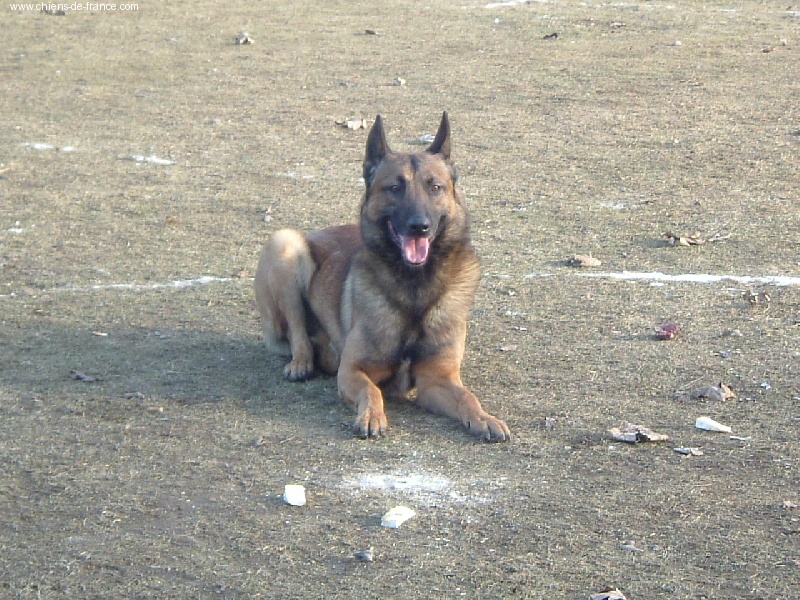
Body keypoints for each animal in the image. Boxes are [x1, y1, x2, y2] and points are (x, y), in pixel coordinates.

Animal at [253, 113, 510, 440]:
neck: (415, 287)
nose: (419, 226)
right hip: (285, 244)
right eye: (394, 188)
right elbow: (371, 391)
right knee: (298, 332)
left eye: (435, 187)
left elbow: (467, 396)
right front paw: (371, 416)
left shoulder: (436, 379)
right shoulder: (352, 370)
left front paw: (484, 418)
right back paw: (301, 363)